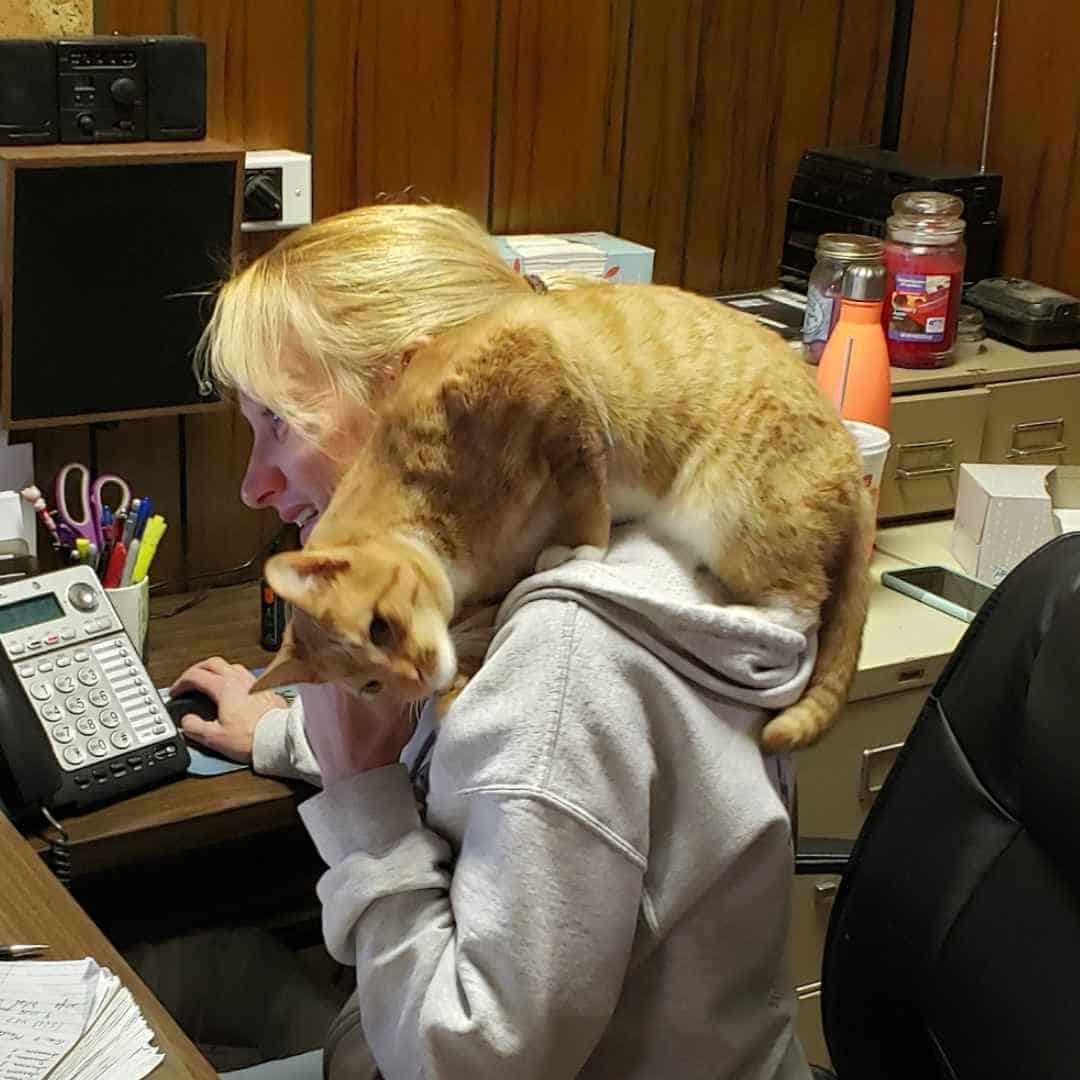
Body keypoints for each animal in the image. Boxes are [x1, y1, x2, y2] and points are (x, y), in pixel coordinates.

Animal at [254, 280, 876, 751]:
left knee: (800, 604)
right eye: (369, 687)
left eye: (379, 627)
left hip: (733, 504)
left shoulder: (552, 395)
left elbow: (585, 498)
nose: (416, 677)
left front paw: (578, 549)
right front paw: (453, 690)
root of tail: (851, 457)